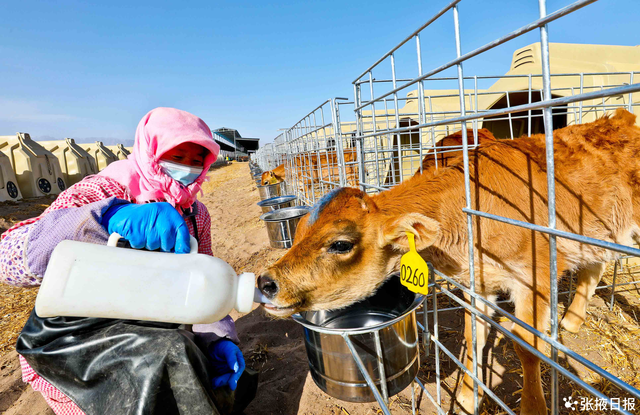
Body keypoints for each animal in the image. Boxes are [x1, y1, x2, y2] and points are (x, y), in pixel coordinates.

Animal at [256, 109, 640, 415]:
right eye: (300, 230)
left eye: (340, 244)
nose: (266, 282)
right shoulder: (478, 282)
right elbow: (473, 336)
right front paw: (468, 399)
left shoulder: (536, 278)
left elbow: (527, 348)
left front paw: (532, 407)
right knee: (595, 266)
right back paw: (572, 320)